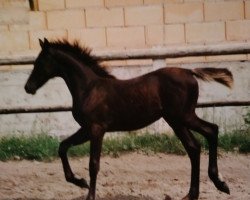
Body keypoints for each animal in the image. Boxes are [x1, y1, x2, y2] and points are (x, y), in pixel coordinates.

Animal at [23, 38, 232, 200]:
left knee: (211, 130)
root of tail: (190, 72)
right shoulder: (86, 129)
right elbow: (63, 147)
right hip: (176, 121)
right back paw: (193, 194)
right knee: (194, 147)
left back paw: (220, 184)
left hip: (183, 116)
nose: (28, 87)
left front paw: (89, 194)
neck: (89, 88)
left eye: (39, 62)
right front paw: (79, 182)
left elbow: (93, 164)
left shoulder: (96, 129)